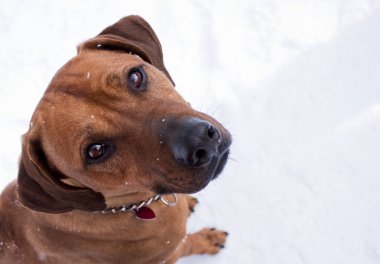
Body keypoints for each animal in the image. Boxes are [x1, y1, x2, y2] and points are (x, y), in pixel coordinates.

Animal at [0, 16, 232, 264]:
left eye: (135, 76)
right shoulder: (169, 252)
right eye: (95, 151)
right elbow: (187, 243)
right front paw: (206, 240)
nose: (200, 141)